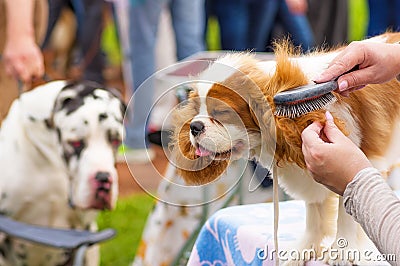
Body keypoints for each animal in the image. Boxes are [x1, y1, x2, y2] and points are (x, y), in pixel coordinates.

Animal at [170, 32, 400, 264]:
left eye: (221, 112)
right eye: (196, 110)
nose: (194, 126)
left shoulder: (364, 158)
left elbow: (346, 210)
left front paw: (342, 250)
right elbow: (314, 212)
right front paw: (306, 248)